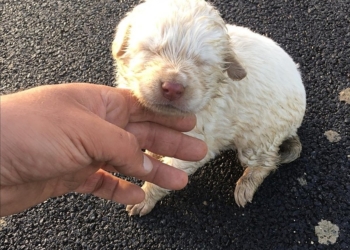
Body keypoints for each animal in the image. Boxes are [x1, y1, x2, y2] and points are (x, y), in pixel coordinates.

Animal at [112, 0, 306, 215]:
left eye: (201, 63)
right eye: (151, 50)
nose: (173, 88)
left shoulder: (195, 143)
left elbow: (164, 176)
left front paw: (145, 197)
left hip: (258, 138)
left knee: (267, 161)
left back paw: (246, 185)